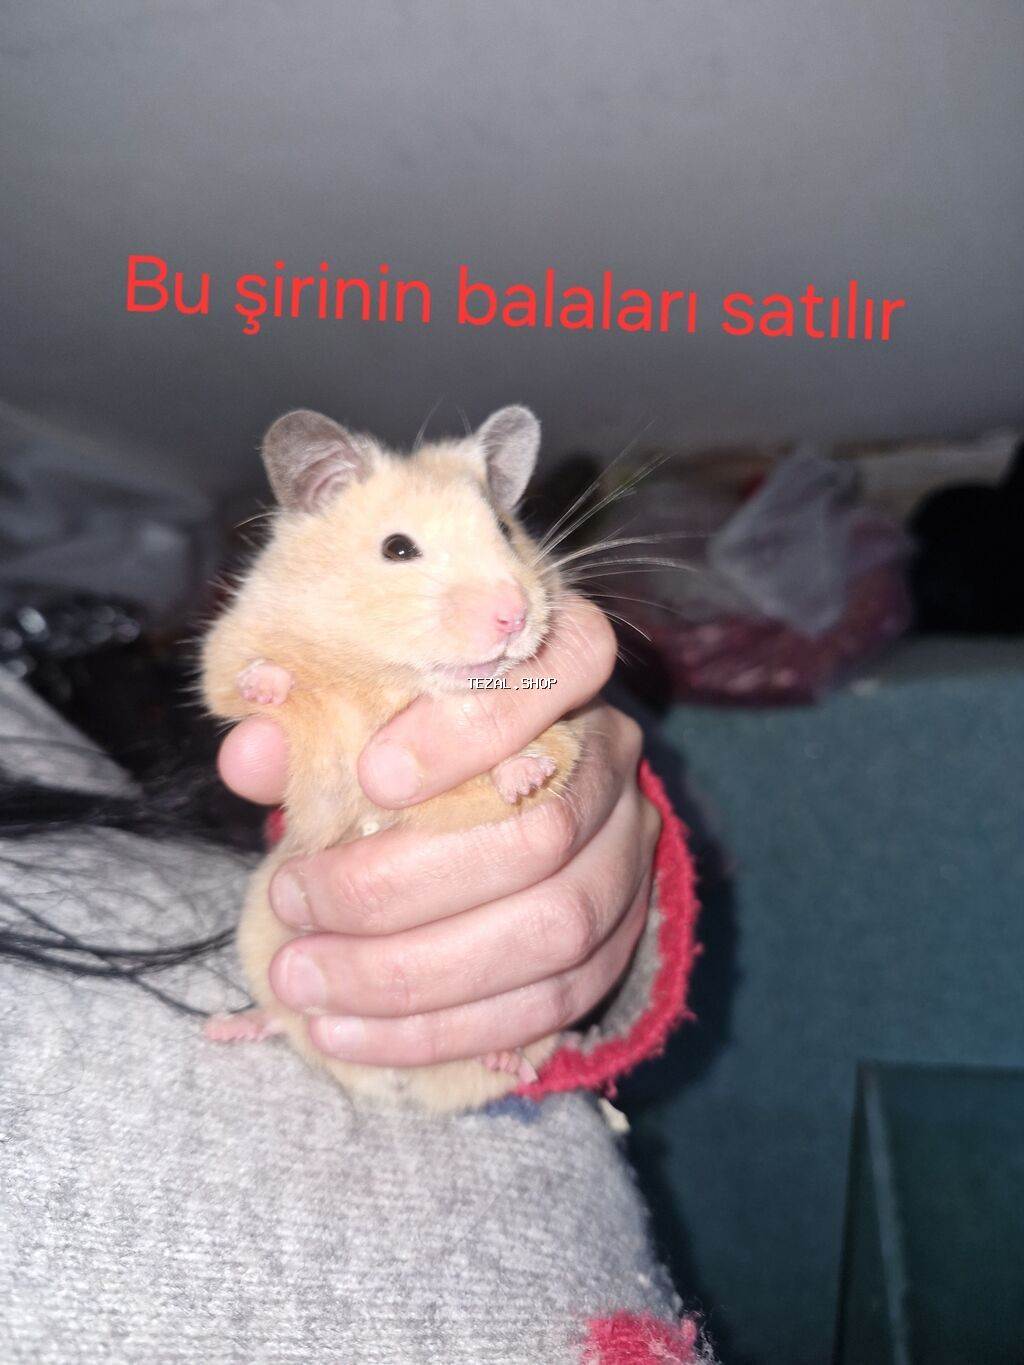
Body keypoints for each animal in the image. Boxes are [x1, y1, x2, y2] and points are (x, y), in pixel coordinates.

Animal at [200, 405, 584, 1113]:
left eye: (504, 529)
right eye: (398, 548)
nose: (514, 615)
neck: (389, 678)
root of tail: (394, 1087)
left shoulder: (563, 729)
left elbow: (539, 754)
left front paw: (527, 774)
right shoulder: (229, 645)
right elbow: (247, 681)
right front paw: (267, 685)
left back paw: (506, 1059)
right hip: (261, 922)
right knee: (282, 1018)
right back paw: (227, 1027)